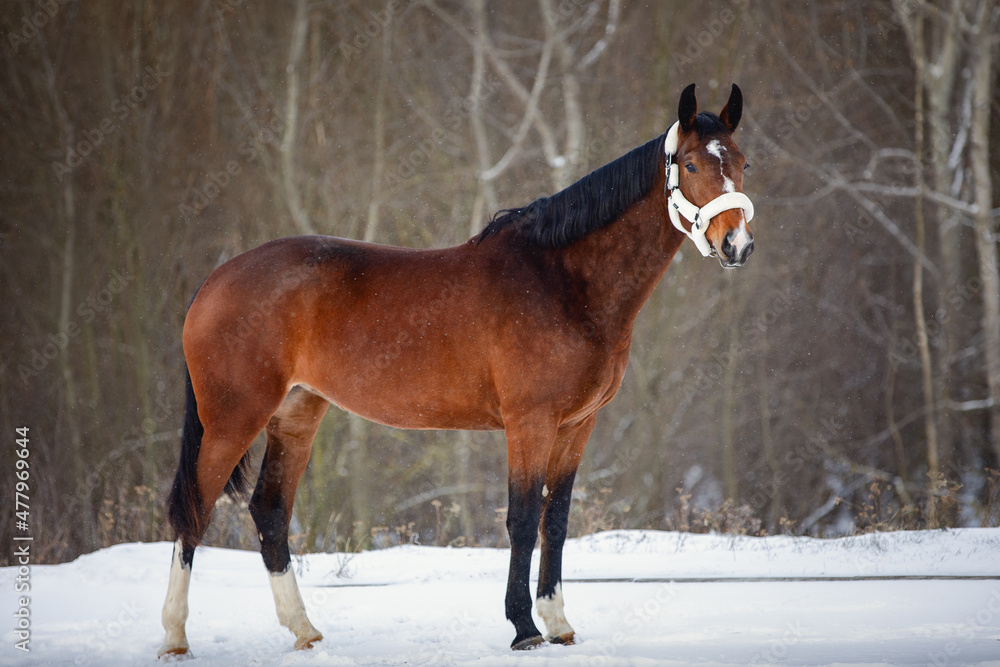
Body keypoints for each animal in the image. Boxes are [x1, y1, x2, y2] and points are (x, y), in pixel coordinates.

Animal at [158, 82, 755, 657]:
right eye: (692, 165)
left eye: (744, 162)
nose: (737, 245)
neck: (562, 280)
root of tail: (215, 281)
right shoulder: (529, 423)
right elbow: (521, 521)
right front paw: (524, 628)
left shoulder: (577, 426)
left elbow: (556, 520)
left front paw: (560, 624)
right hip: (232, 420)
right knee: (194, 511)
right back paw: (175, 637)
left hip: (297, 415)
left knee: (270, 513)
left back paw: (304, 631)